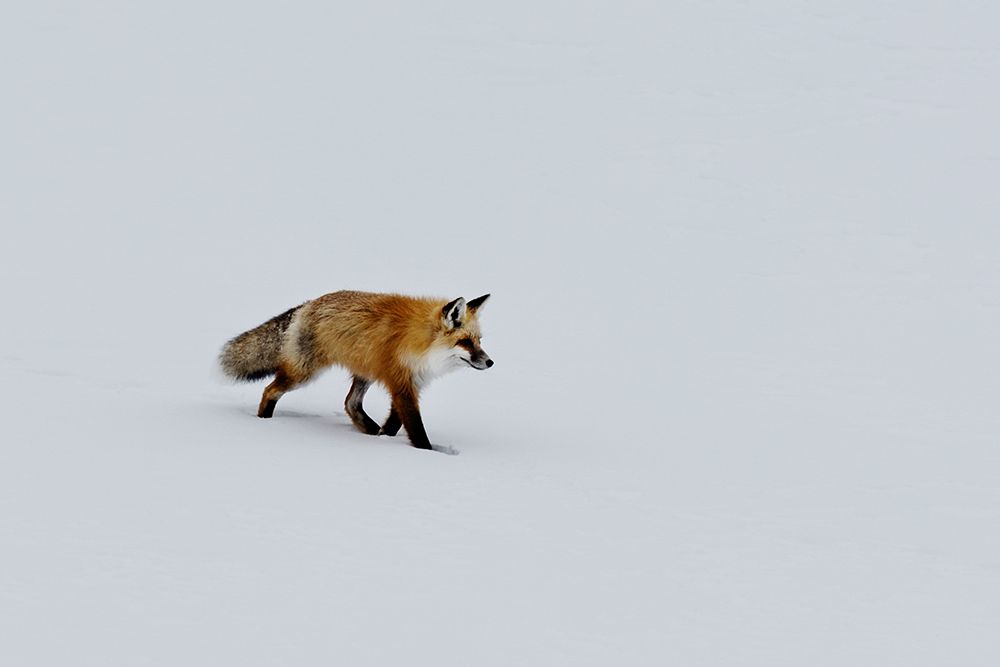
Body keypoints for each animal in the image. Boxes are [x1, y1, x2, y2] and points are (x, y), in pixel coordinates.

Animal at [218, 290, 493, 451]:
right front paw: (426, 452)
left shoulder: (409, 382)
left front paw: (384, 438)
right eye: (465, 342)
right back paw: (264, 422)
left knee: (350, 403)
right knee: (270, 390)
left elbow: (395, 422)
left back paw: (370, 431)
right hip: (303, 373)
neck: (421, 345)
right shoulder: (401, 383)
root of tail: (307, 304)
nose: (490, 362)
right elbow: (415, 427)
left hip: (365, 372)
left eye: (479, 341)